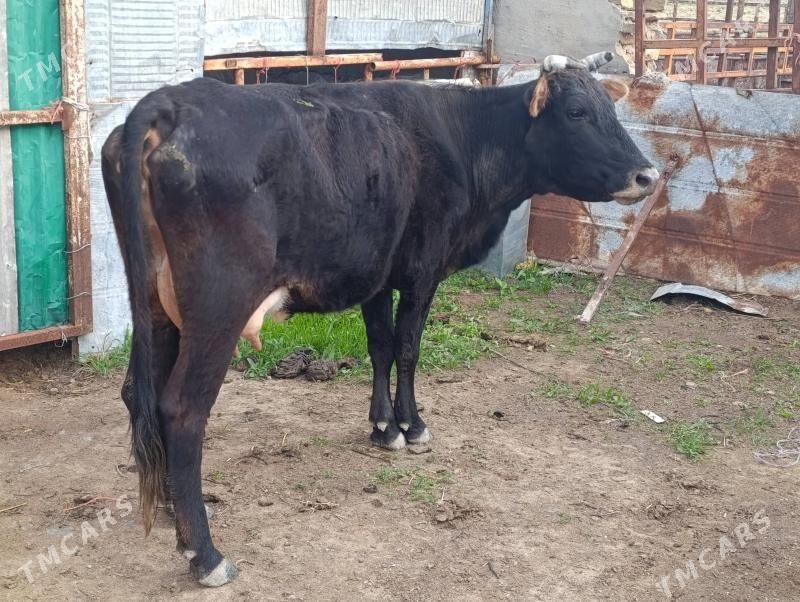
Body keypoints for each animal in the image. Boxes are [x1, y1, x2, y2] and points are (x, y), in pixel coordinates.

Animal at [102, 51, 658, 586]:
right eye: (577, 112)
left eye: (611, 110)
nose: (647, 176)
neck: (465, 135)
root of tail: (168, 104)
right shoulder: (422, 272)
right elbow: (408, 348)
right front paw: (412, 426)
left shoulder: (376, 274)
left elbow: (380, 347)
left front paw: (383, 426)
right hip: (218, 305)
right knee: (182, 409)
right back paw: (204, 553)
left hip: (155, 304)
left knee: (138, 392)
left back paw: (170, 509)